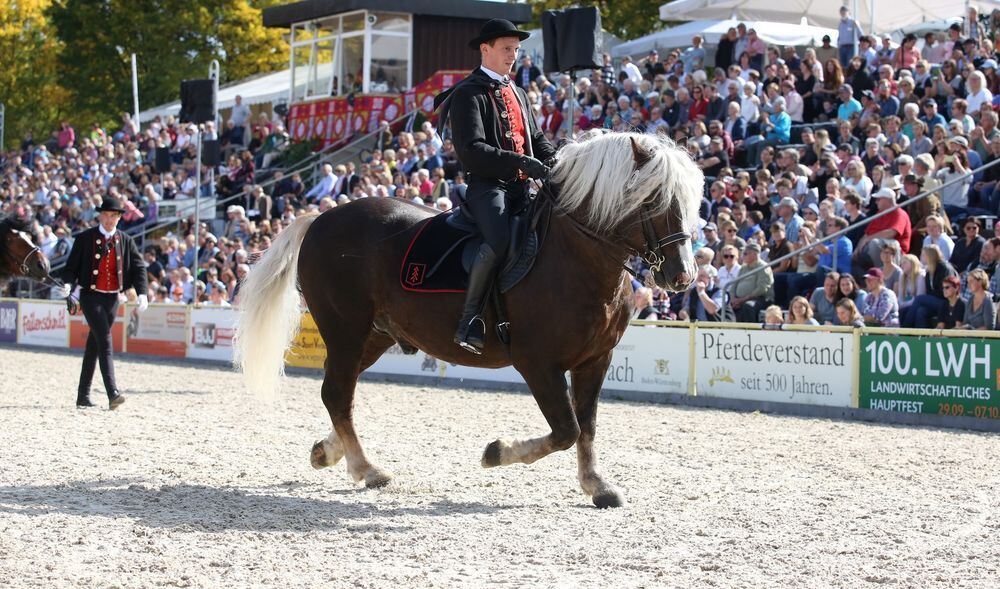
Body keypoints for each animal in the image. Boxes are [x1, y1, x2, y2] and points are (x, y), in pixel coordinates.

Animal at [234, 131, 704, 508]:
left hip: (374, 335)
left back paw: (333, 453)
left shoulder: (595, 360)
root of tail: (321, 218)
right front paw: (497, 452)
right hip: (345, 330)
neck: (575, 258)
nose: (682, 276)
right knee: (337, 392)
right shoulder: (538, 363)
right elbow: (565, 429)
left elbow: (585, 425)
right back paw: (368, 469)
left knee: (338, 392)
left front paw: (597, 486)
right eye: (653, 200)